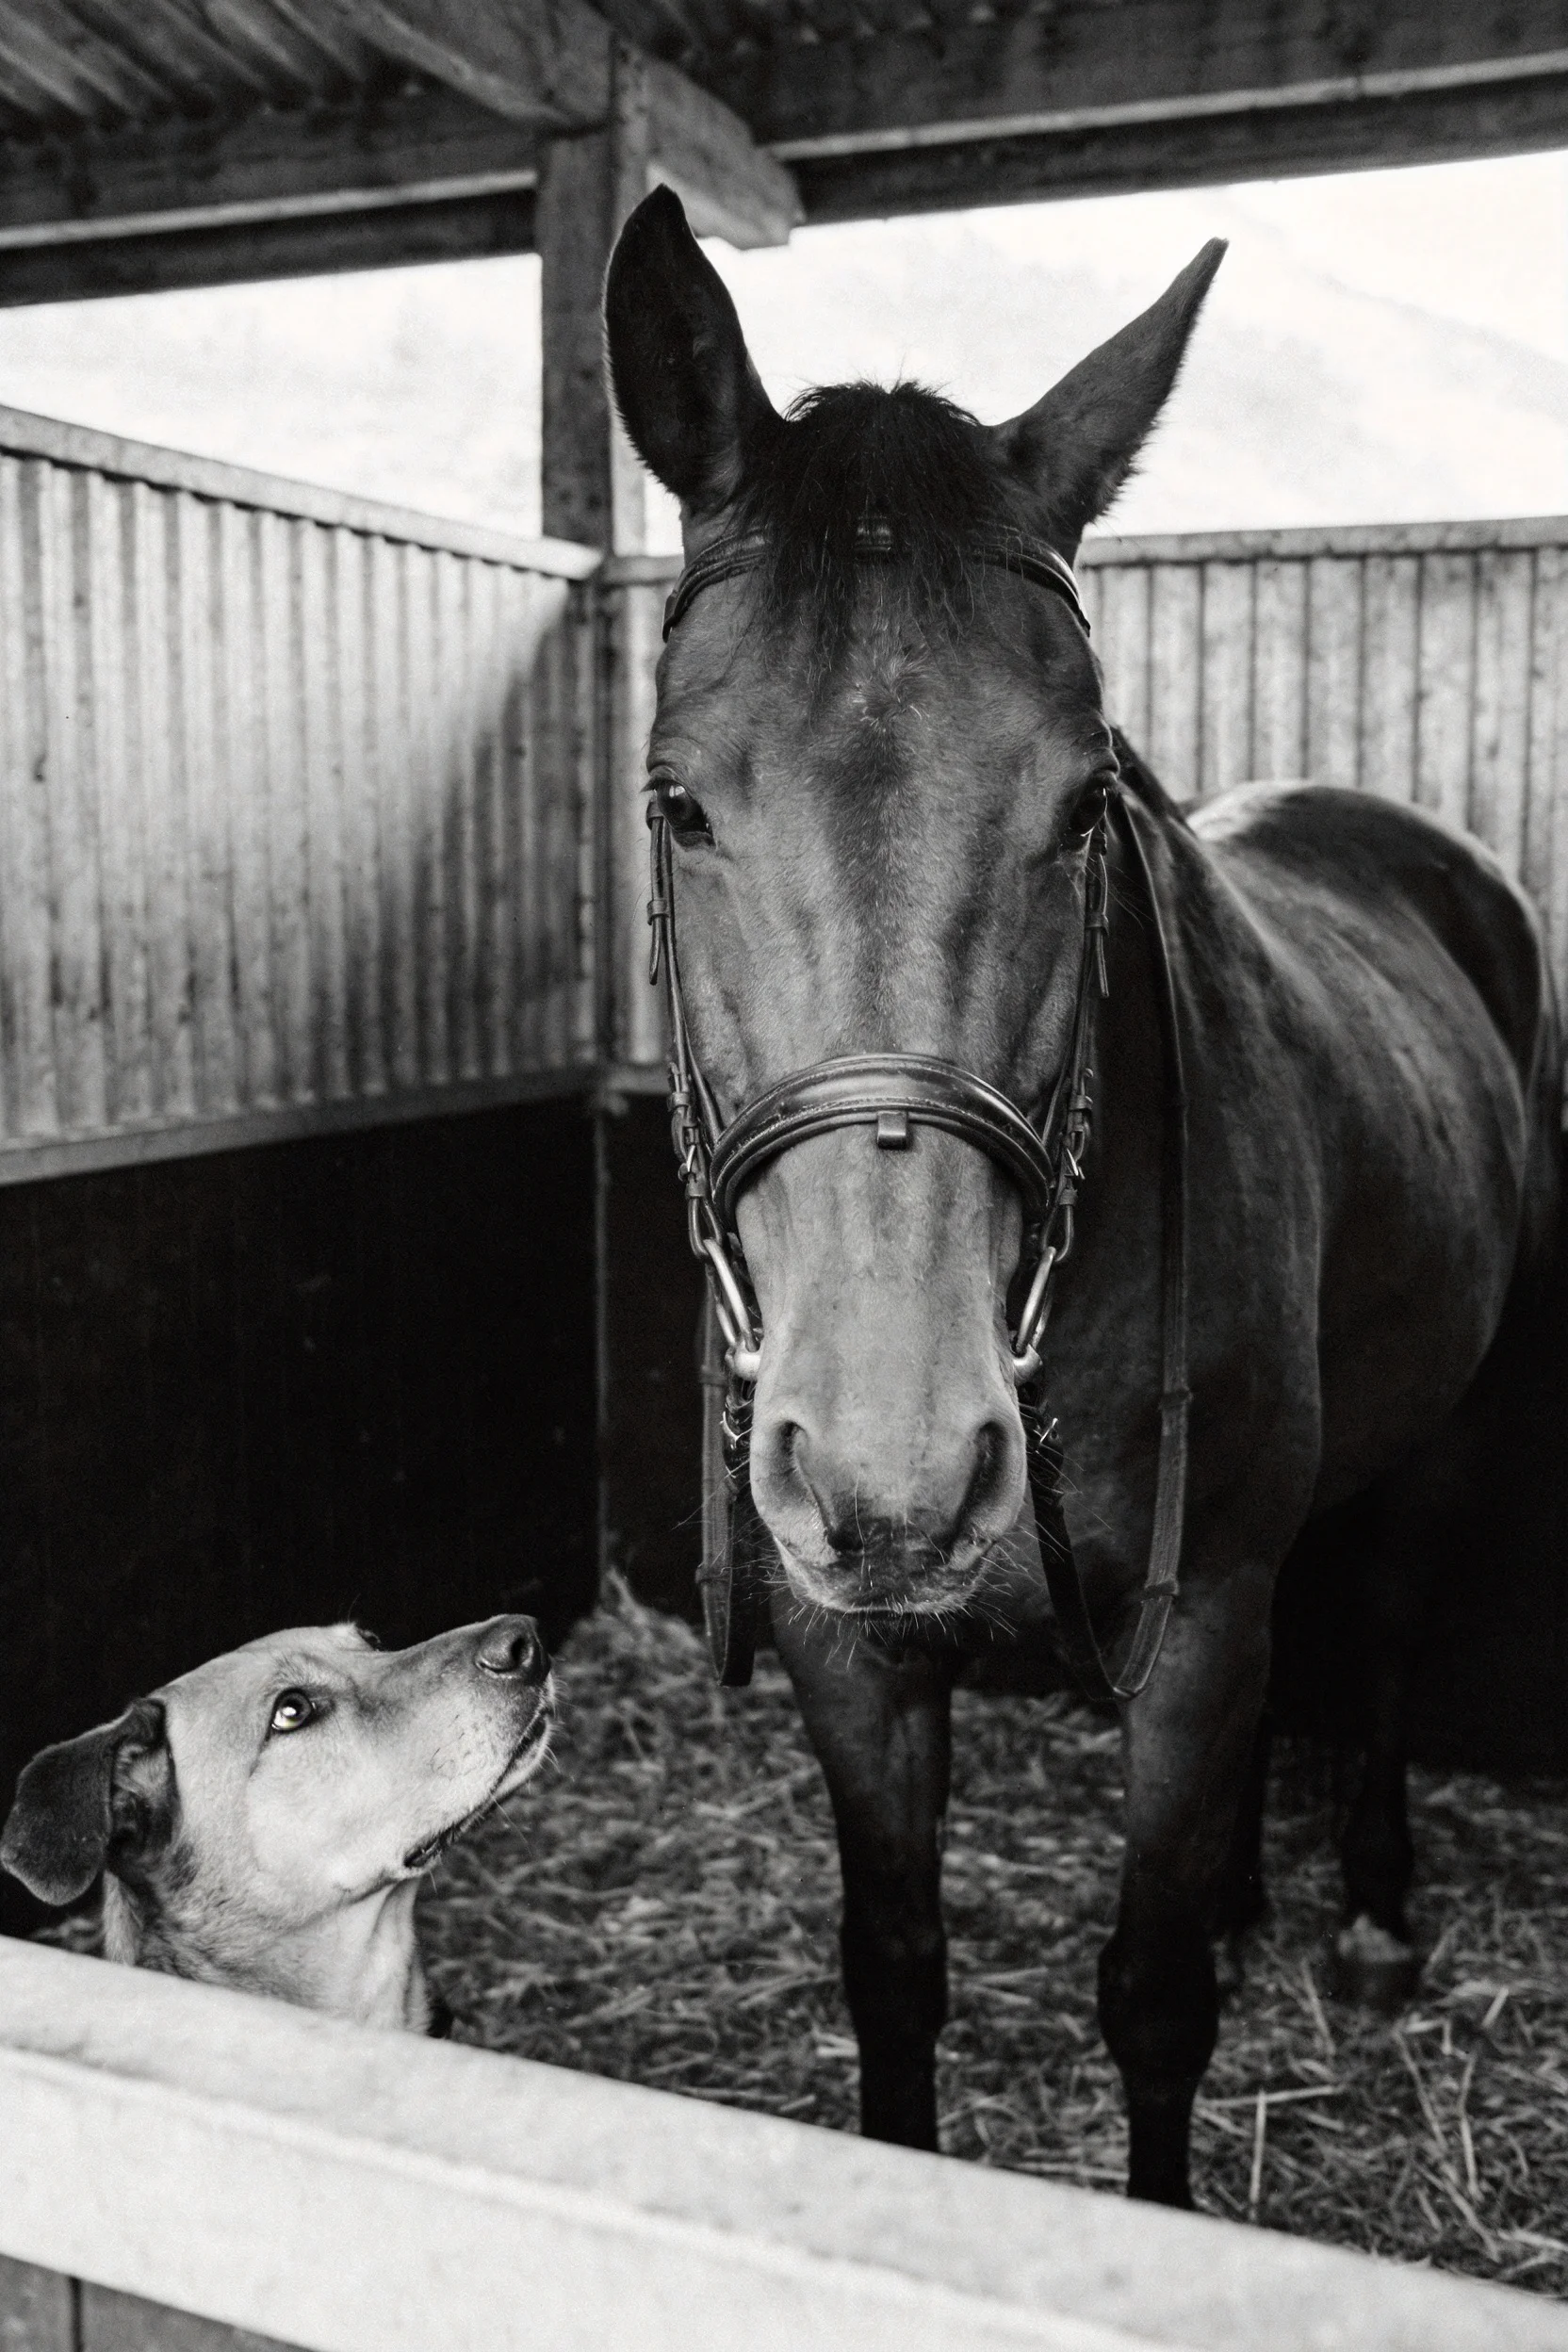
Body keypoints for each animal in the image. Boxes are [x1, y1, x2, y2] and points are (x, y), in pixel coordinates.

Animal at [603, 186, 1562, 2207]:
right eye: (679, 801)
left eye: (1076, 807)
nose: (895, 1469)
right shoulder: (848, 1645)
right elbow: (893, 1968)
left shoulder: (1192, 1630)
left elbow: (1150, 1999)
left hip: (1436, 1424)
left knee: (1381, 1616)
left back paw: (1364, 1911)